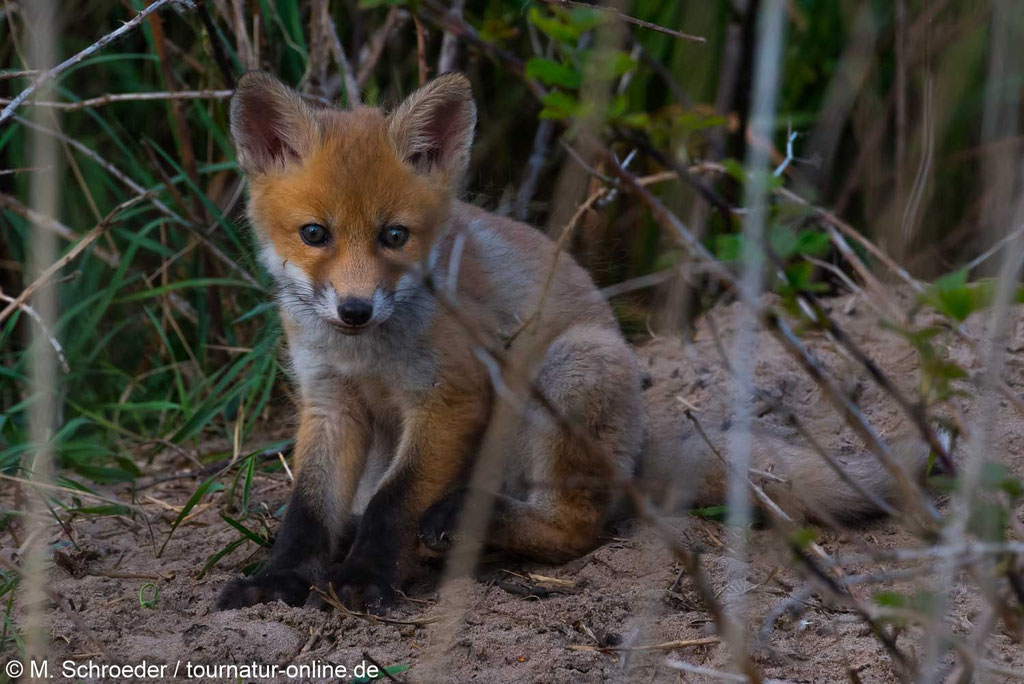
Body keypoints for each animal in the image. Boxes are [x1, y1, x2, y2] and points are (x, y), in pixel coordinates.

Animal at [216, 70, 925, 613]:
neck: (364, 356)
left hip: (570, 370)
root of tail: (636, 455)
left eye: (394, 236)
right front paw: (281, 580)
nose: (356, 310)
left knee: (573, 525)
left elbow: (397, 500)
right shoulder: (329, 401)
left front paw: (365, 580)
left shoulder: (449, 399)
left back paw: (466, 522)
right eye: (315, 234)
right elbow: (309, 510)